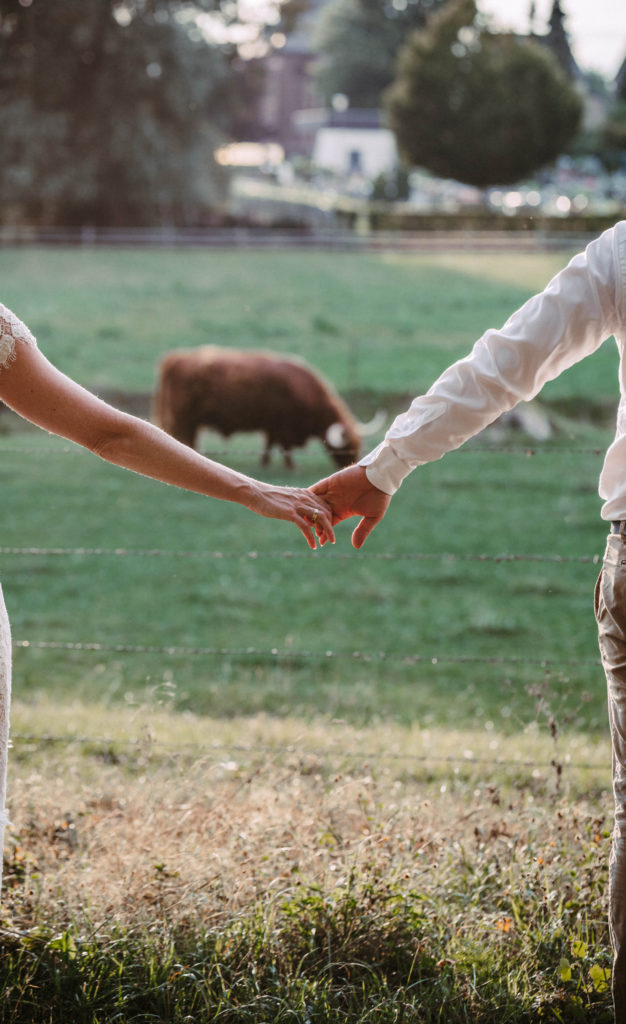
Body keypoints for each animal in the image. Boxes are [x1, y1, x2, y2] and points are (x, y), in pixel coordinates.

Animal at [155, 346, 381, 468]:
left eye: (359, 443)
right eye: (345, 445)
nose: (353, 464)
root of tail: (175, 358)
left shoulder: (272, 427)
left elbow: (269, 445)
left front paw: (266, 463)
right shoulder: (282, 427)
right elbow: (284, 448)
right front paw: (290, 467)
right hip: (184, 419)